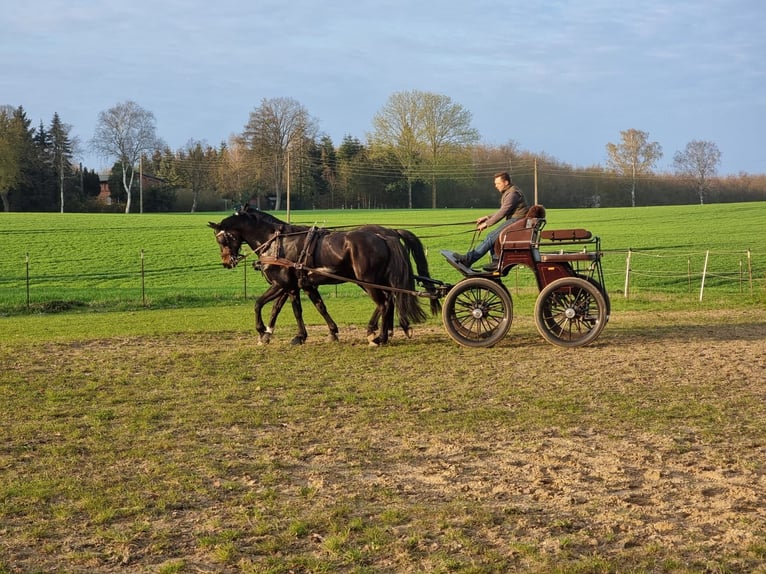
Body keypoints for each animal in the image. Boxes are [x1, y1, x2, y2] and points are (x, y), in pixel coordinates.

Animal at [210, 210, 438, 346]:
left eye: (222, 239)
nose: (227, 262)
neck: (276, 243)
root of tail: (385, 235)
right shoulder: (296, 285)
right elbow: (300, 308)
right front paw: (269, 333)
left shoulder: (282, 285)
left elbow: (265, 305)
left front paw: (274, 333)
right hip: (375, 281)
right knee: (389, 301)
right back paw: (383, 332)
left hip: (368, 281)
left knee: (384, 303)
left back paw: (378, 336)